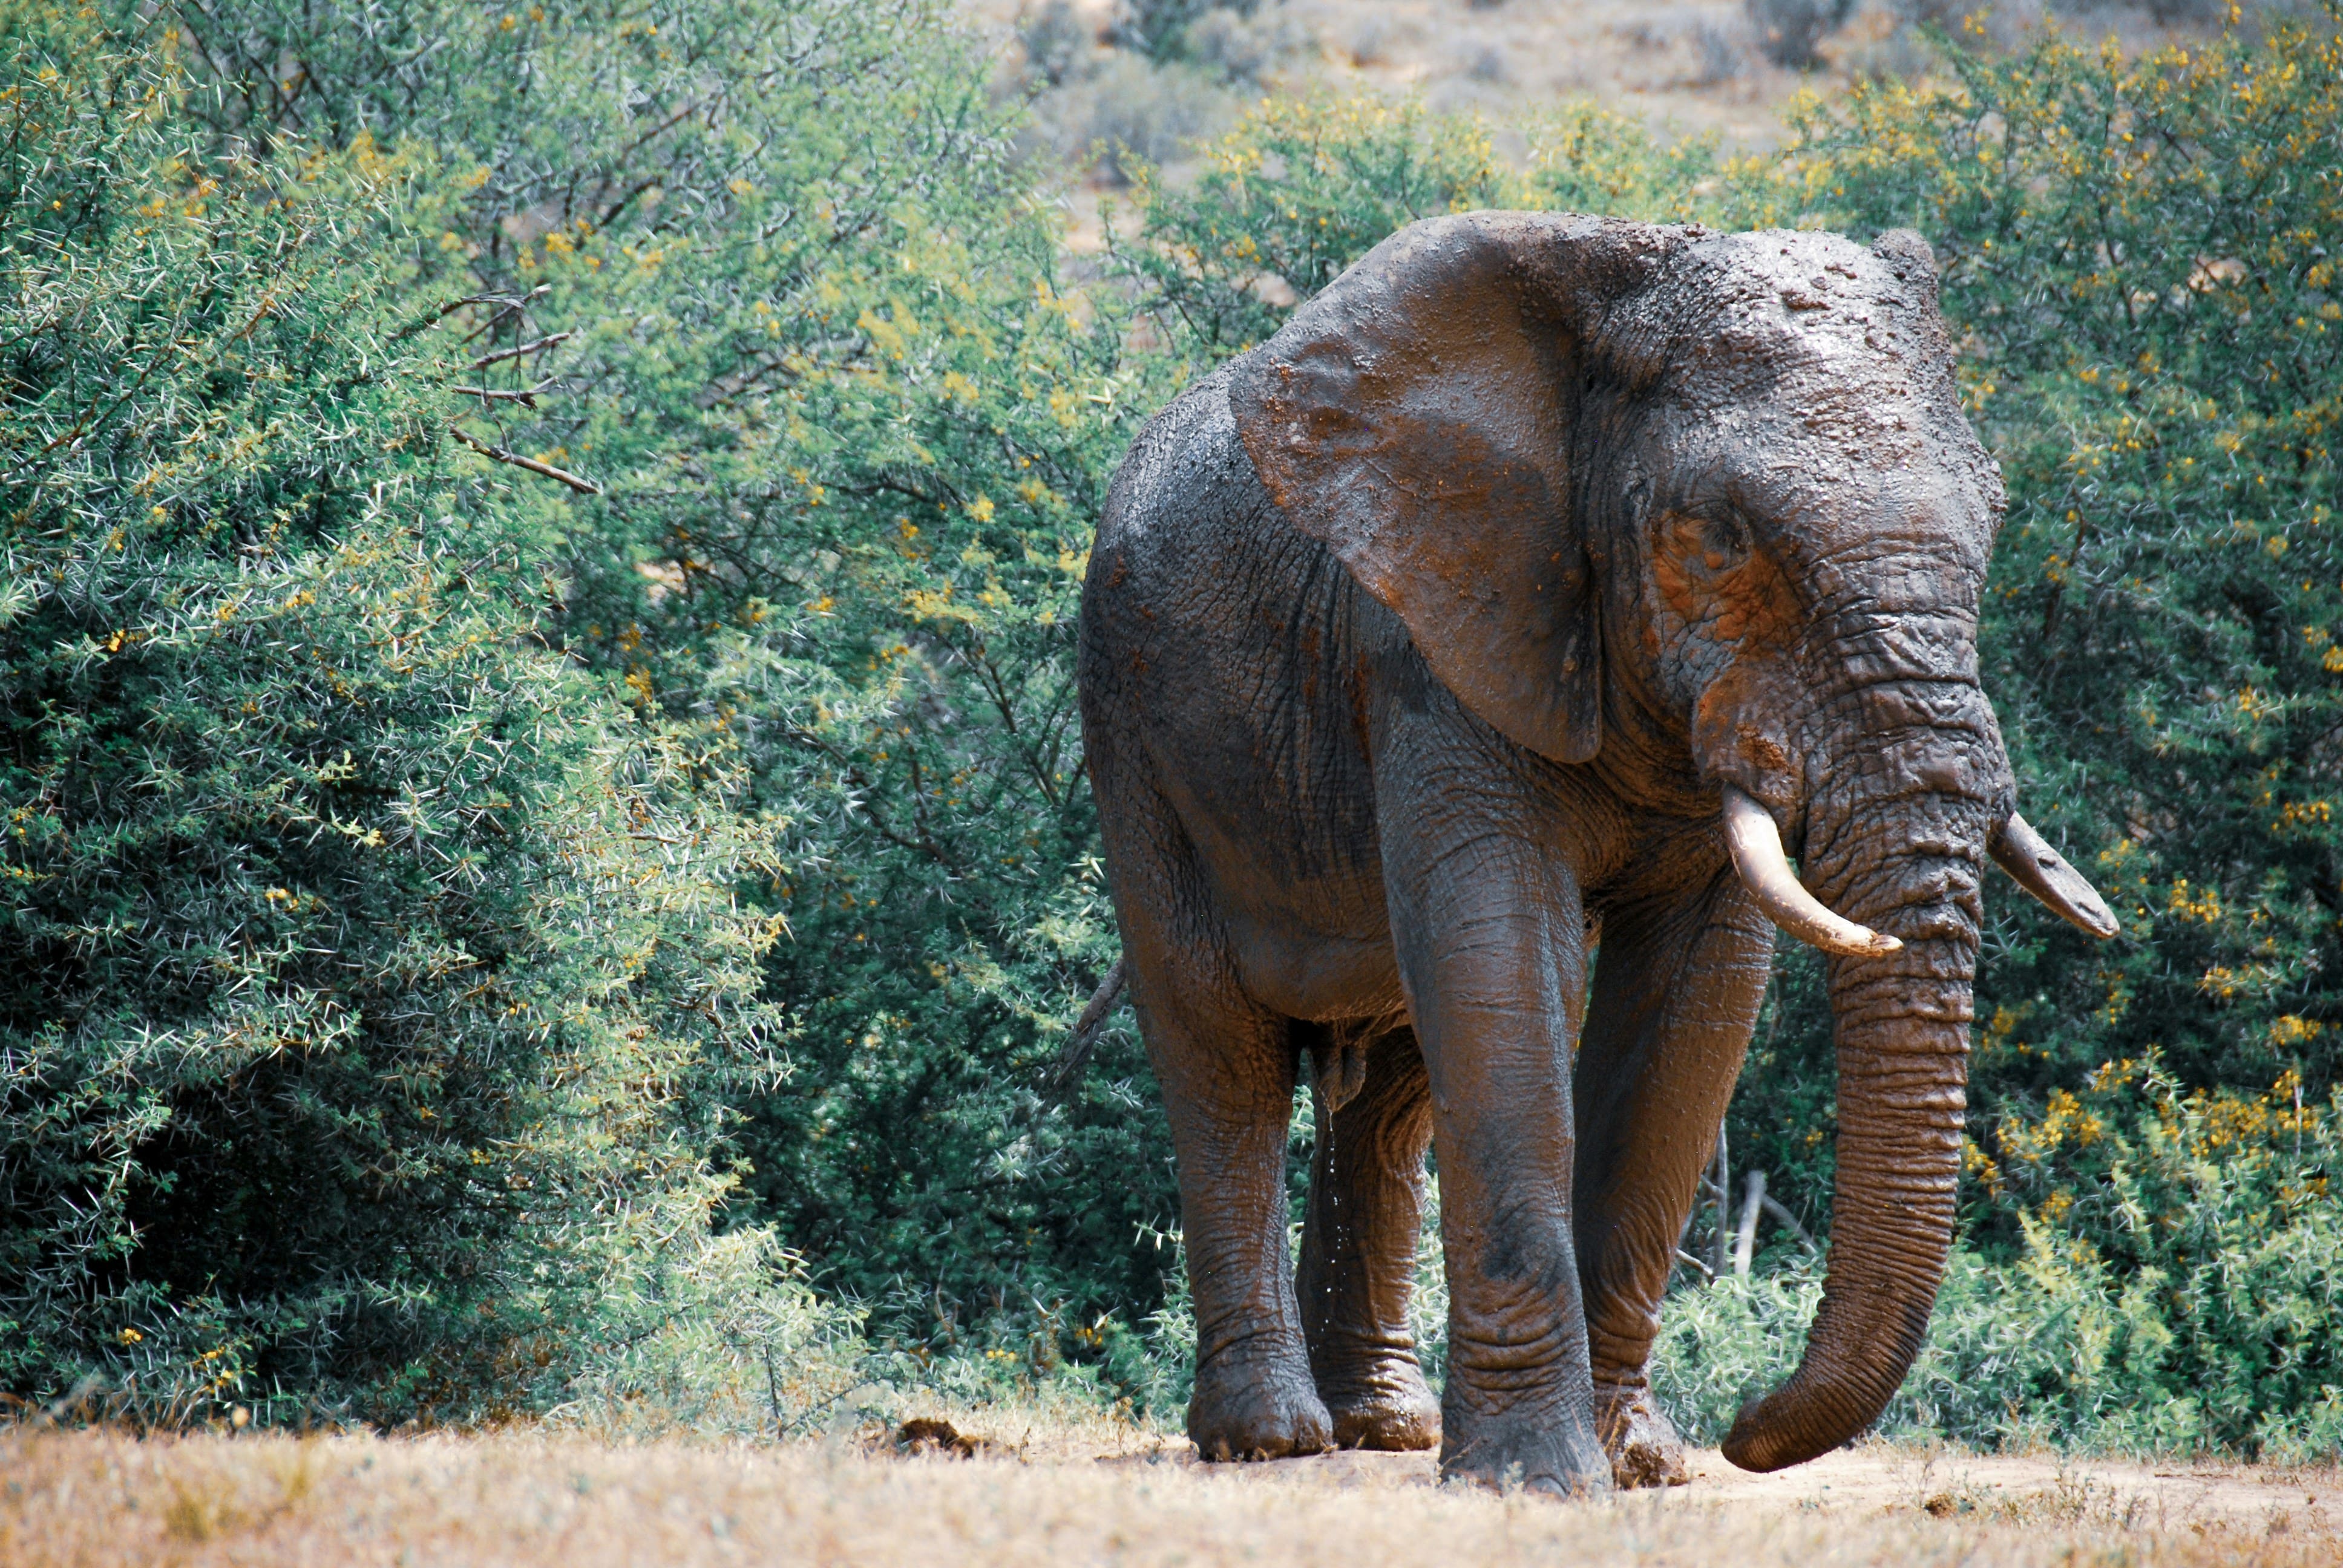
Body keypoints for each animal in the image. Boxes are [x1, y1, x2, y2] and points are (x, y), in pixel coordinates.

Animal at [1078, 211, 2127, 1491]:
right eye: (1714, 536)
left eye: (1995, 517)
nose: (1745, 1425)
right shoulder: (1434, 634)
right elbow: (1501, 972)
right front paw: (1533, 1478)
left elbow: (1687, 1020)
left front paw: (1640, 1460)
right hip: (1132, 726)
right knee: (1219, 1050)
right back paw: (1270, 1437)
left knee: (1389, 1085)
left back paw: (1385, 1425)